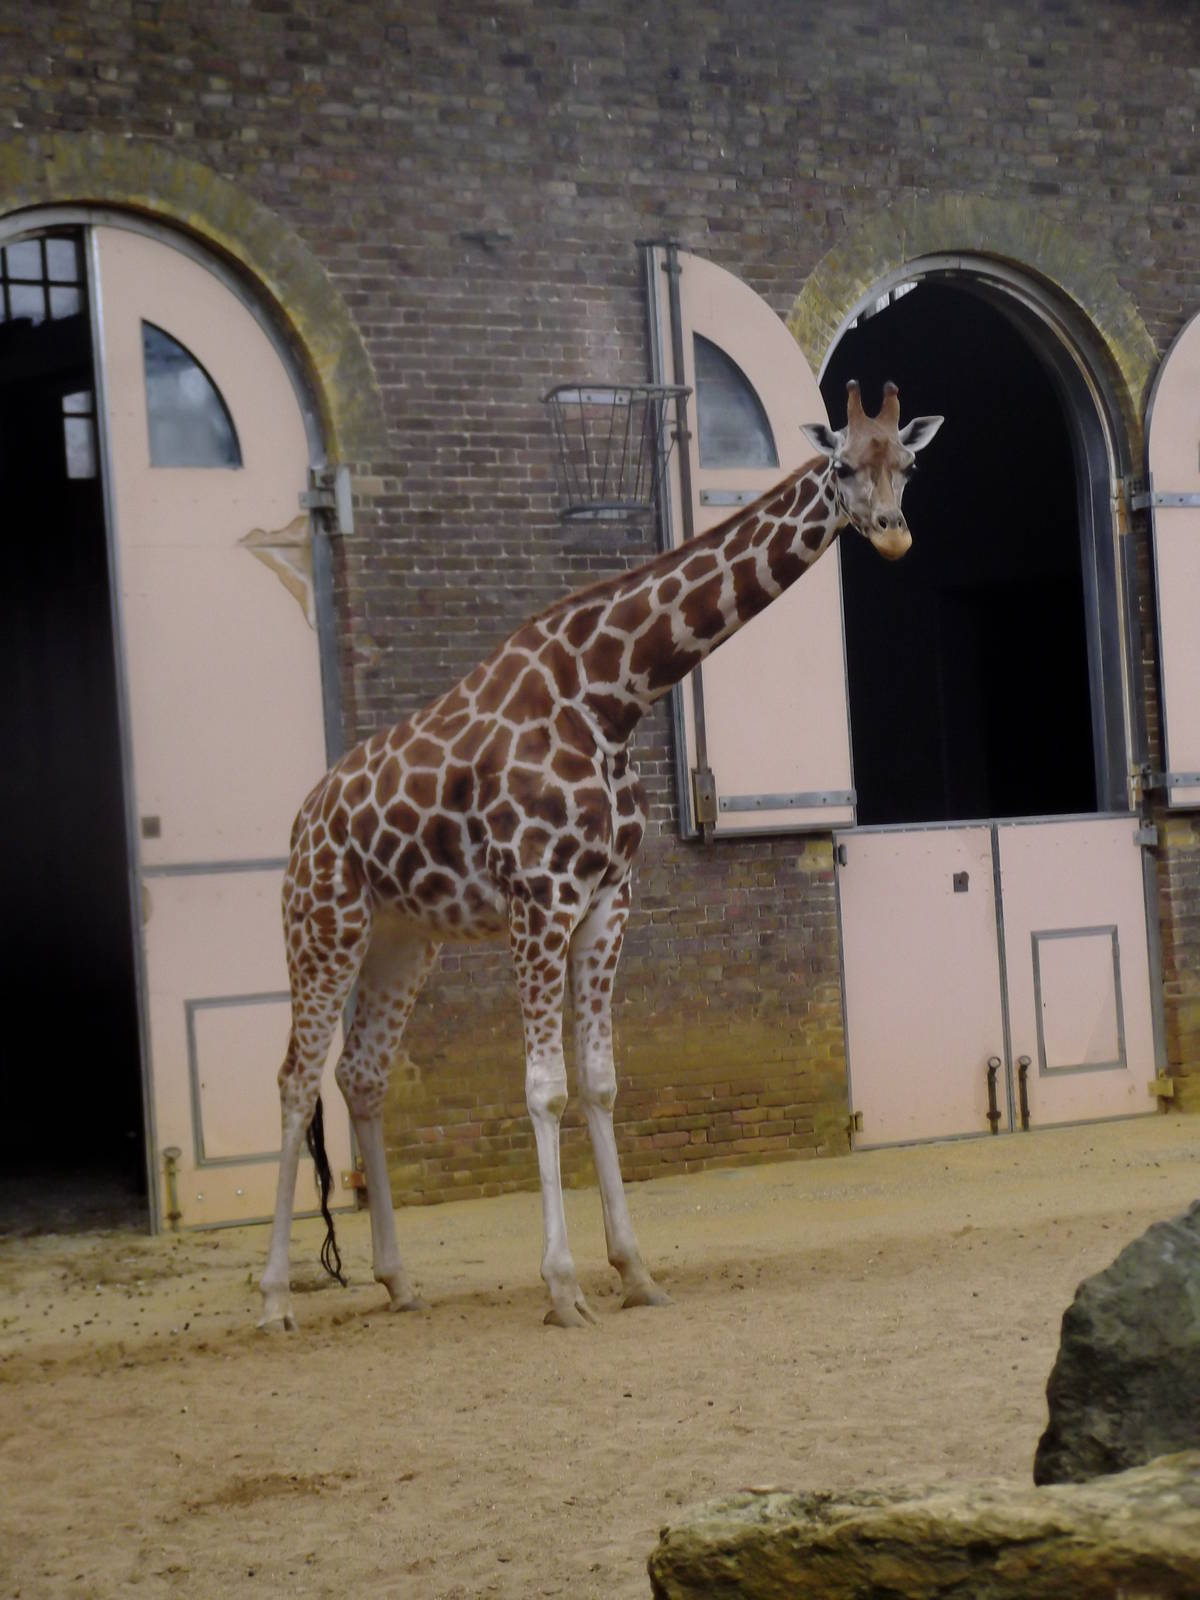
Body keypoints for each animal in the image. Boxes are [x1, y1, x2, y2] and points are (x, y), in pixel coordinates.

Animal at [259, 379, 942, 1331]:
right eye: (842, 464)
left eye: (907, 463)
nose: (891, 532)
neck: (611, 697)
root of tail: (304, 819)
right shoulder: (539, 898)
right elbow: (544, 1087)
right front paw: (563, 1285)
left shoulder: (608, 899)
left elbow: (601, 1081)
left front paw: (635, 1270)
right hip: (323, 926)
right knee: (295, 1081)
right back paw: (275, 1298)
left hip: (404, 939)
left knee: (361, 1075)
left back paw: (398, 1280)